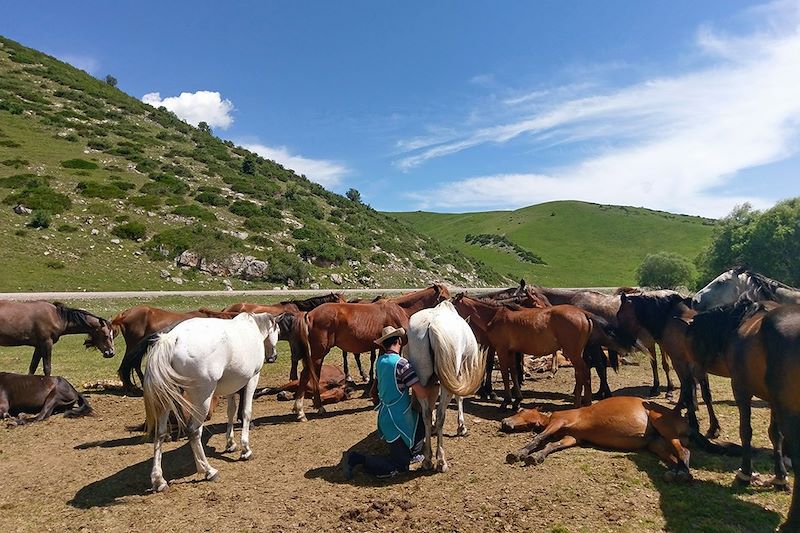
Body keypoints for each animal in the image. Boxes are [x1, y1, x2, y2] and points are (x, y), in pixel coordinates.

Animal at [142, 312, 280, 490]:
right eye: (277, 330)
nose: (273, 357)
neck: (252, 328)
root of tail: (172, 338)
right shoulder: (252, 379)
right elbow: (246, 412)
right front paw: (245, 449)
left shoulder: (231, 387)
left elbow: (231, 411)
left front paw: (230, 443)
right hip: (202, 399)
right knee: (193, 431)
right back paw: (208, 470)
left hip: (167, 399)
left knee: (160, 433)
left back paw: (159, 480)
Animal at [500, 394, 736, 478]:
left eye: (521, 410)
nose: (504, 423)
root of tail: (687, 424)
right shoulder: (572, 438)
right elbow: (551, 446)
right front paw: (536, 456)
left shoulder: (561, 422)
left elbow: (539, 439)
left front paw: (520, 453)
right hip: (657, 444)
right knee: (675, 457)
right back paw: (674, 472)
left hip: (664, 427)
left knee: (684, 452)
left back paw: (683, 475)